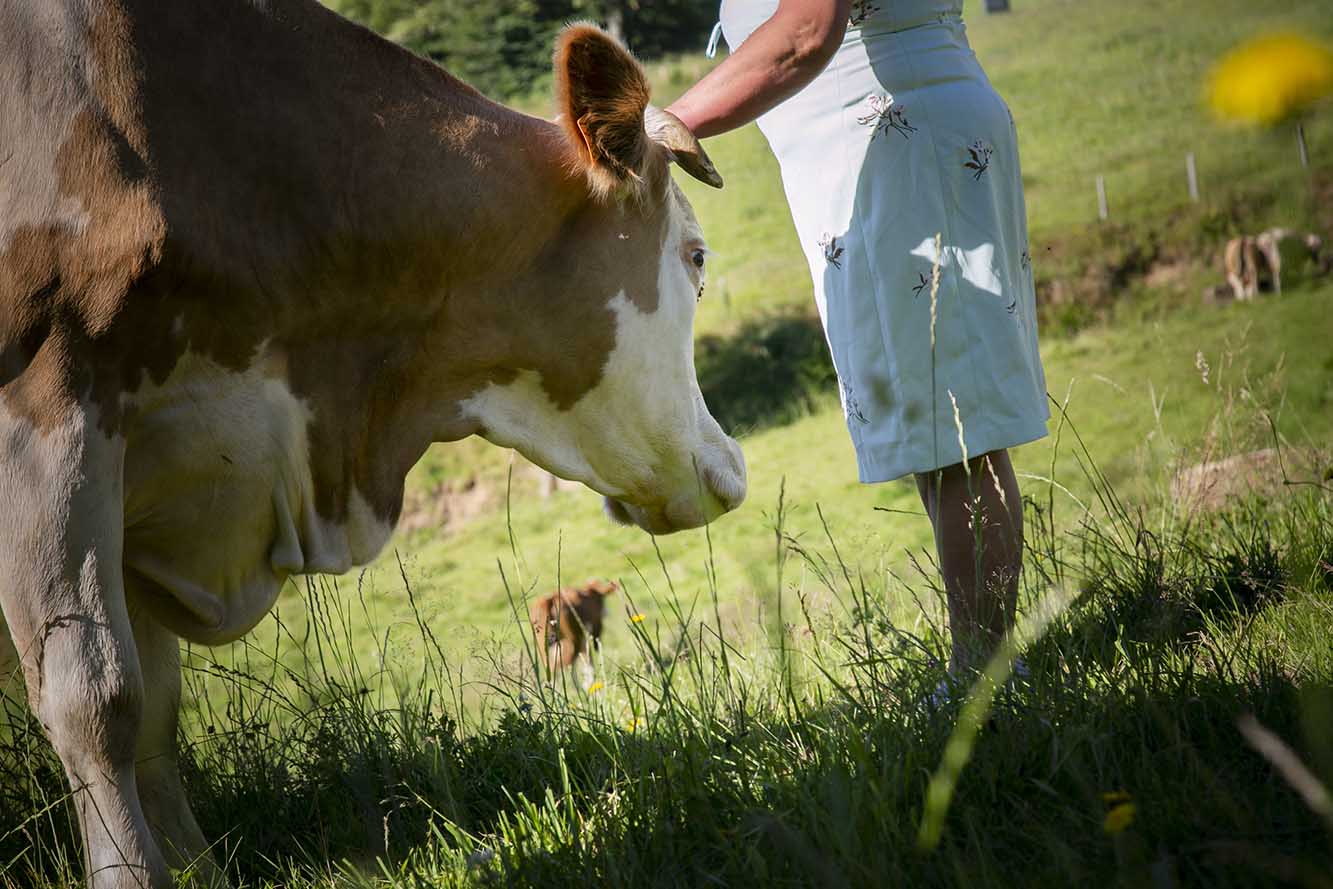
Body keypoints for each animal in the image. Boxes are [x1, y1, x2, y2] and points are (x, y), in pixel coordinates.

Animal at [0, 2, 746, 886]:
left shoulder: (143, 477)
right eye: (695, 256)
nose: (731, 468)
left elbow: (156, 703)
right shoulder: (53, 419)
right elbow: (97, 692)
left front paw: (194, 867)